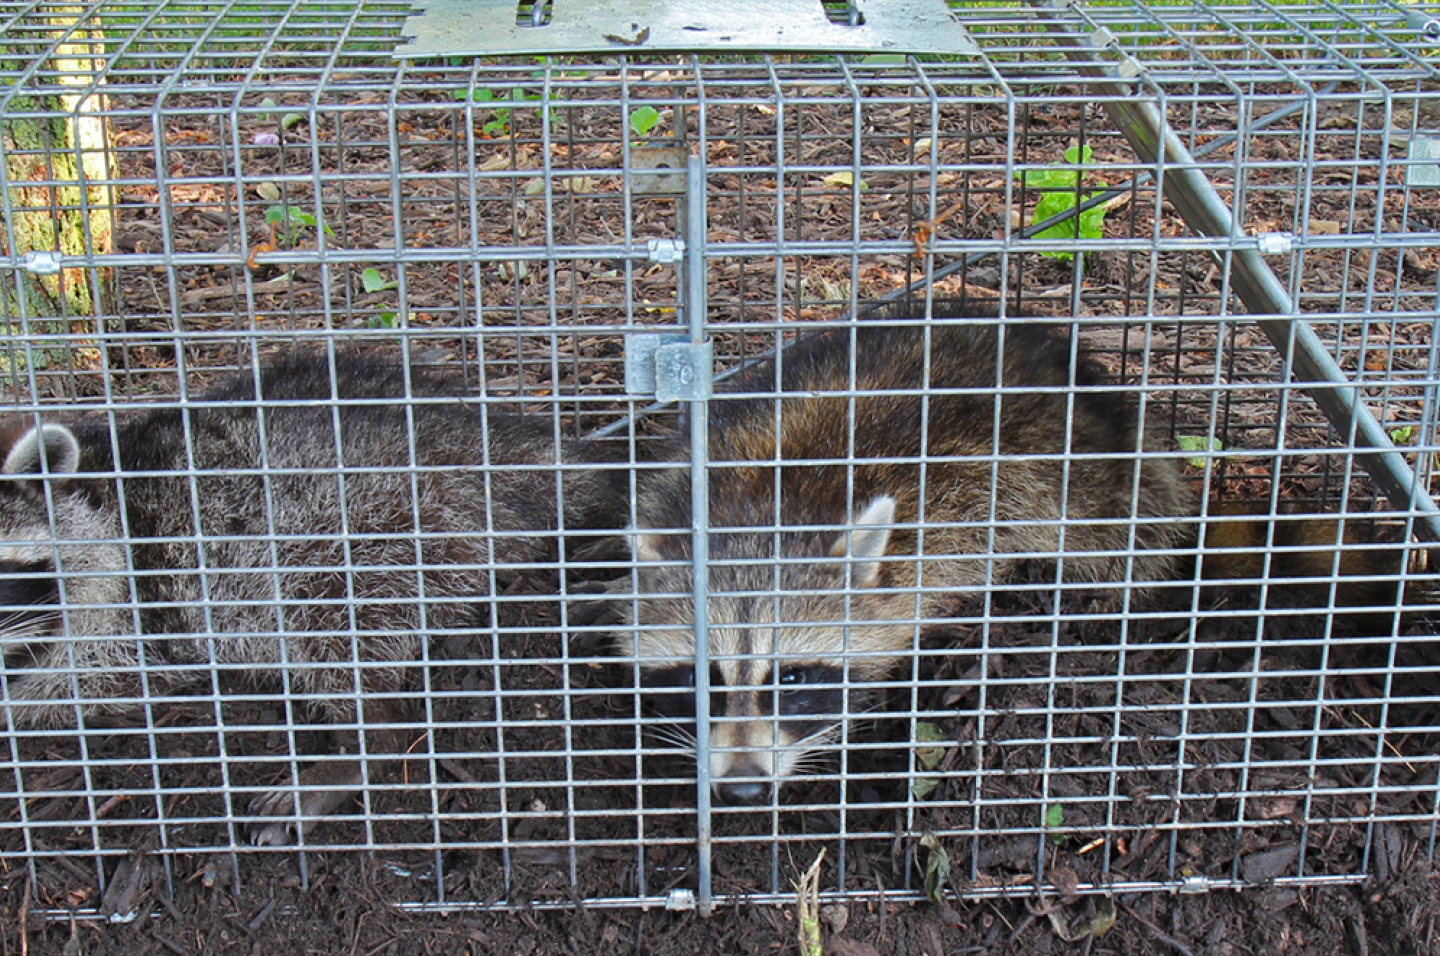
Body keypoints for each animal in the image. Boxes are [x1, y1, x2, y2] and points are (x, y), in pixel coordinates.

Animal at [0, 350, 624, 844]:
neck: (101, 485)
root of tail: (497, 444)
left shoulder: (139, 604)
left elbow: (88, 675)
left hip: (377, 532)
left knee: (336, 637)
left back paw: (361, 746)